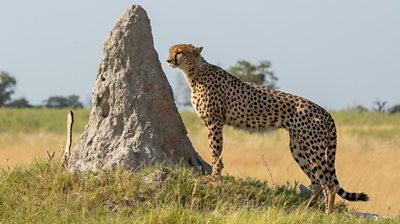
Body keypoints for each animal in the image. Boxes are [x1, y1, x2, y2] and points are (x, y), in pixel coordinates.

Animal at [166, 43, 368, 214]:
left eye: (179, 52)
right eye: (170, 51)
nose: (168, 60)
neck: (195, 72)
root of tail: (325, 111)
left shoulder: (214, 123)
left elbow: (216, 152)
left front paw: (214, 176)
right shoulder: (214, 123)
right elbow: (216, 152)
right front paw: (216, 174)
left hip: (313, 149)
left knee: (329, 183)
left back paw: (327, 213)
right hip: (298, 148)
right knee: (317, 181)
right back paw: (307, 208)